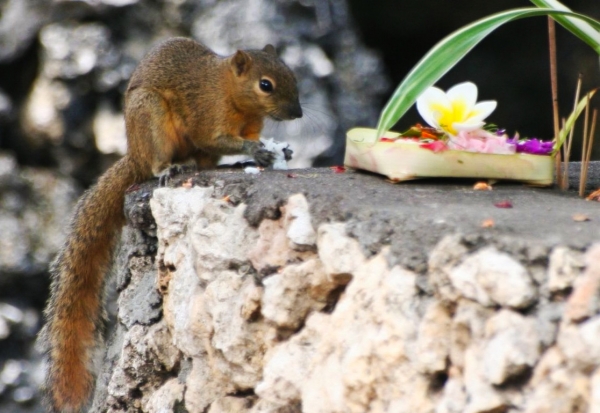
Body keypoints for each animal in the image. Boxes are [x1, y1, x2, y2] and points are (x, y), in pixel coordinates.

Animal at [39, 37, 302, 410]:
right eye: (265, 85)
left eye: (291, 74)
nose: (298, 113)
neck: (229, 92)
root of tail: (133, 156)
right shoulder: (207, 116)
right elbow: (215, 137)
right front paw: (257, 151)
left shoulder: (248, 126)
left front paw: (272, 151)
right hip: (150, 119)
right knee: (160, 161)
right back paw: (171, 168)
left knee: (204, 162)